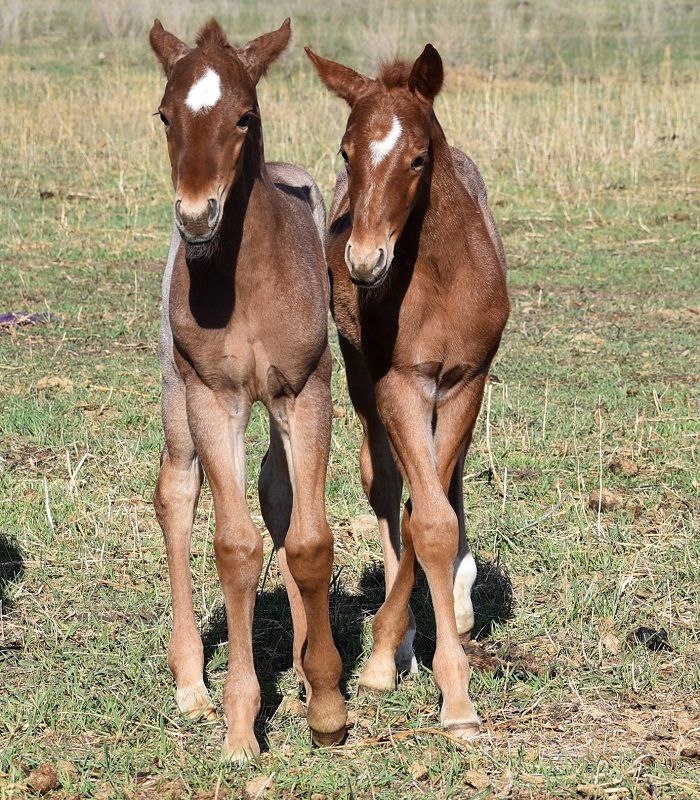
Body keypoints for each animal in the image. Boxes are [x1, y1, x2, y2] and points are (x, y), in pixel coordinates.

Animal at [149, 18, 347, 761]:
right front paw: (240, 726)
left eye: (244, 115)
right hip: (175, 391)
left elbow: (308, 539)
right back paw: (188, 683)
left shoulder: (307, 393)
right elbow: (236, 547)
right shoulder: (215, 397)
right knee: (176, 490)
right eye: (165, 115)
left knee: (279, 492)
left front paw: (325, 702)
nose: (196, 216)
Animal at [306, 43, 509, 738]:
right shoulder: (401, 383)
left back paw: (459, 598)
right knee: (386, 484)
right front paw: (405, 668)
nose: (365, 262)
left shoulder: (467, 379)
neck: (442, 276)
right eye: (345, 152)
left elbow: (436, 513)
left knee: (443, 481)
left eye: (419, 157)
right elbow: (424, 520)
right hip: (364, 380)